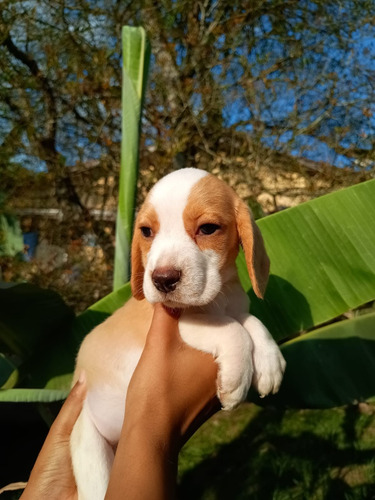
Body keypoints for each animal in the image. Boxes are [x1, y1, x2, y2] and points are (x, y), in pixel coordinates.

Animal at [71, 169, 284, 500]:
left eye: (208, 229)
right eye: (146, 232)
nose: (162, 280)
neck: (217, 299)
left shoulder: (236, 307)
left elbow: (252, 322)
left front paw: (270, 364)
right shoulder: (187, 322)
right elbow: (233, 329)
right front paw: (236, 380)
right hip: (90, 451)